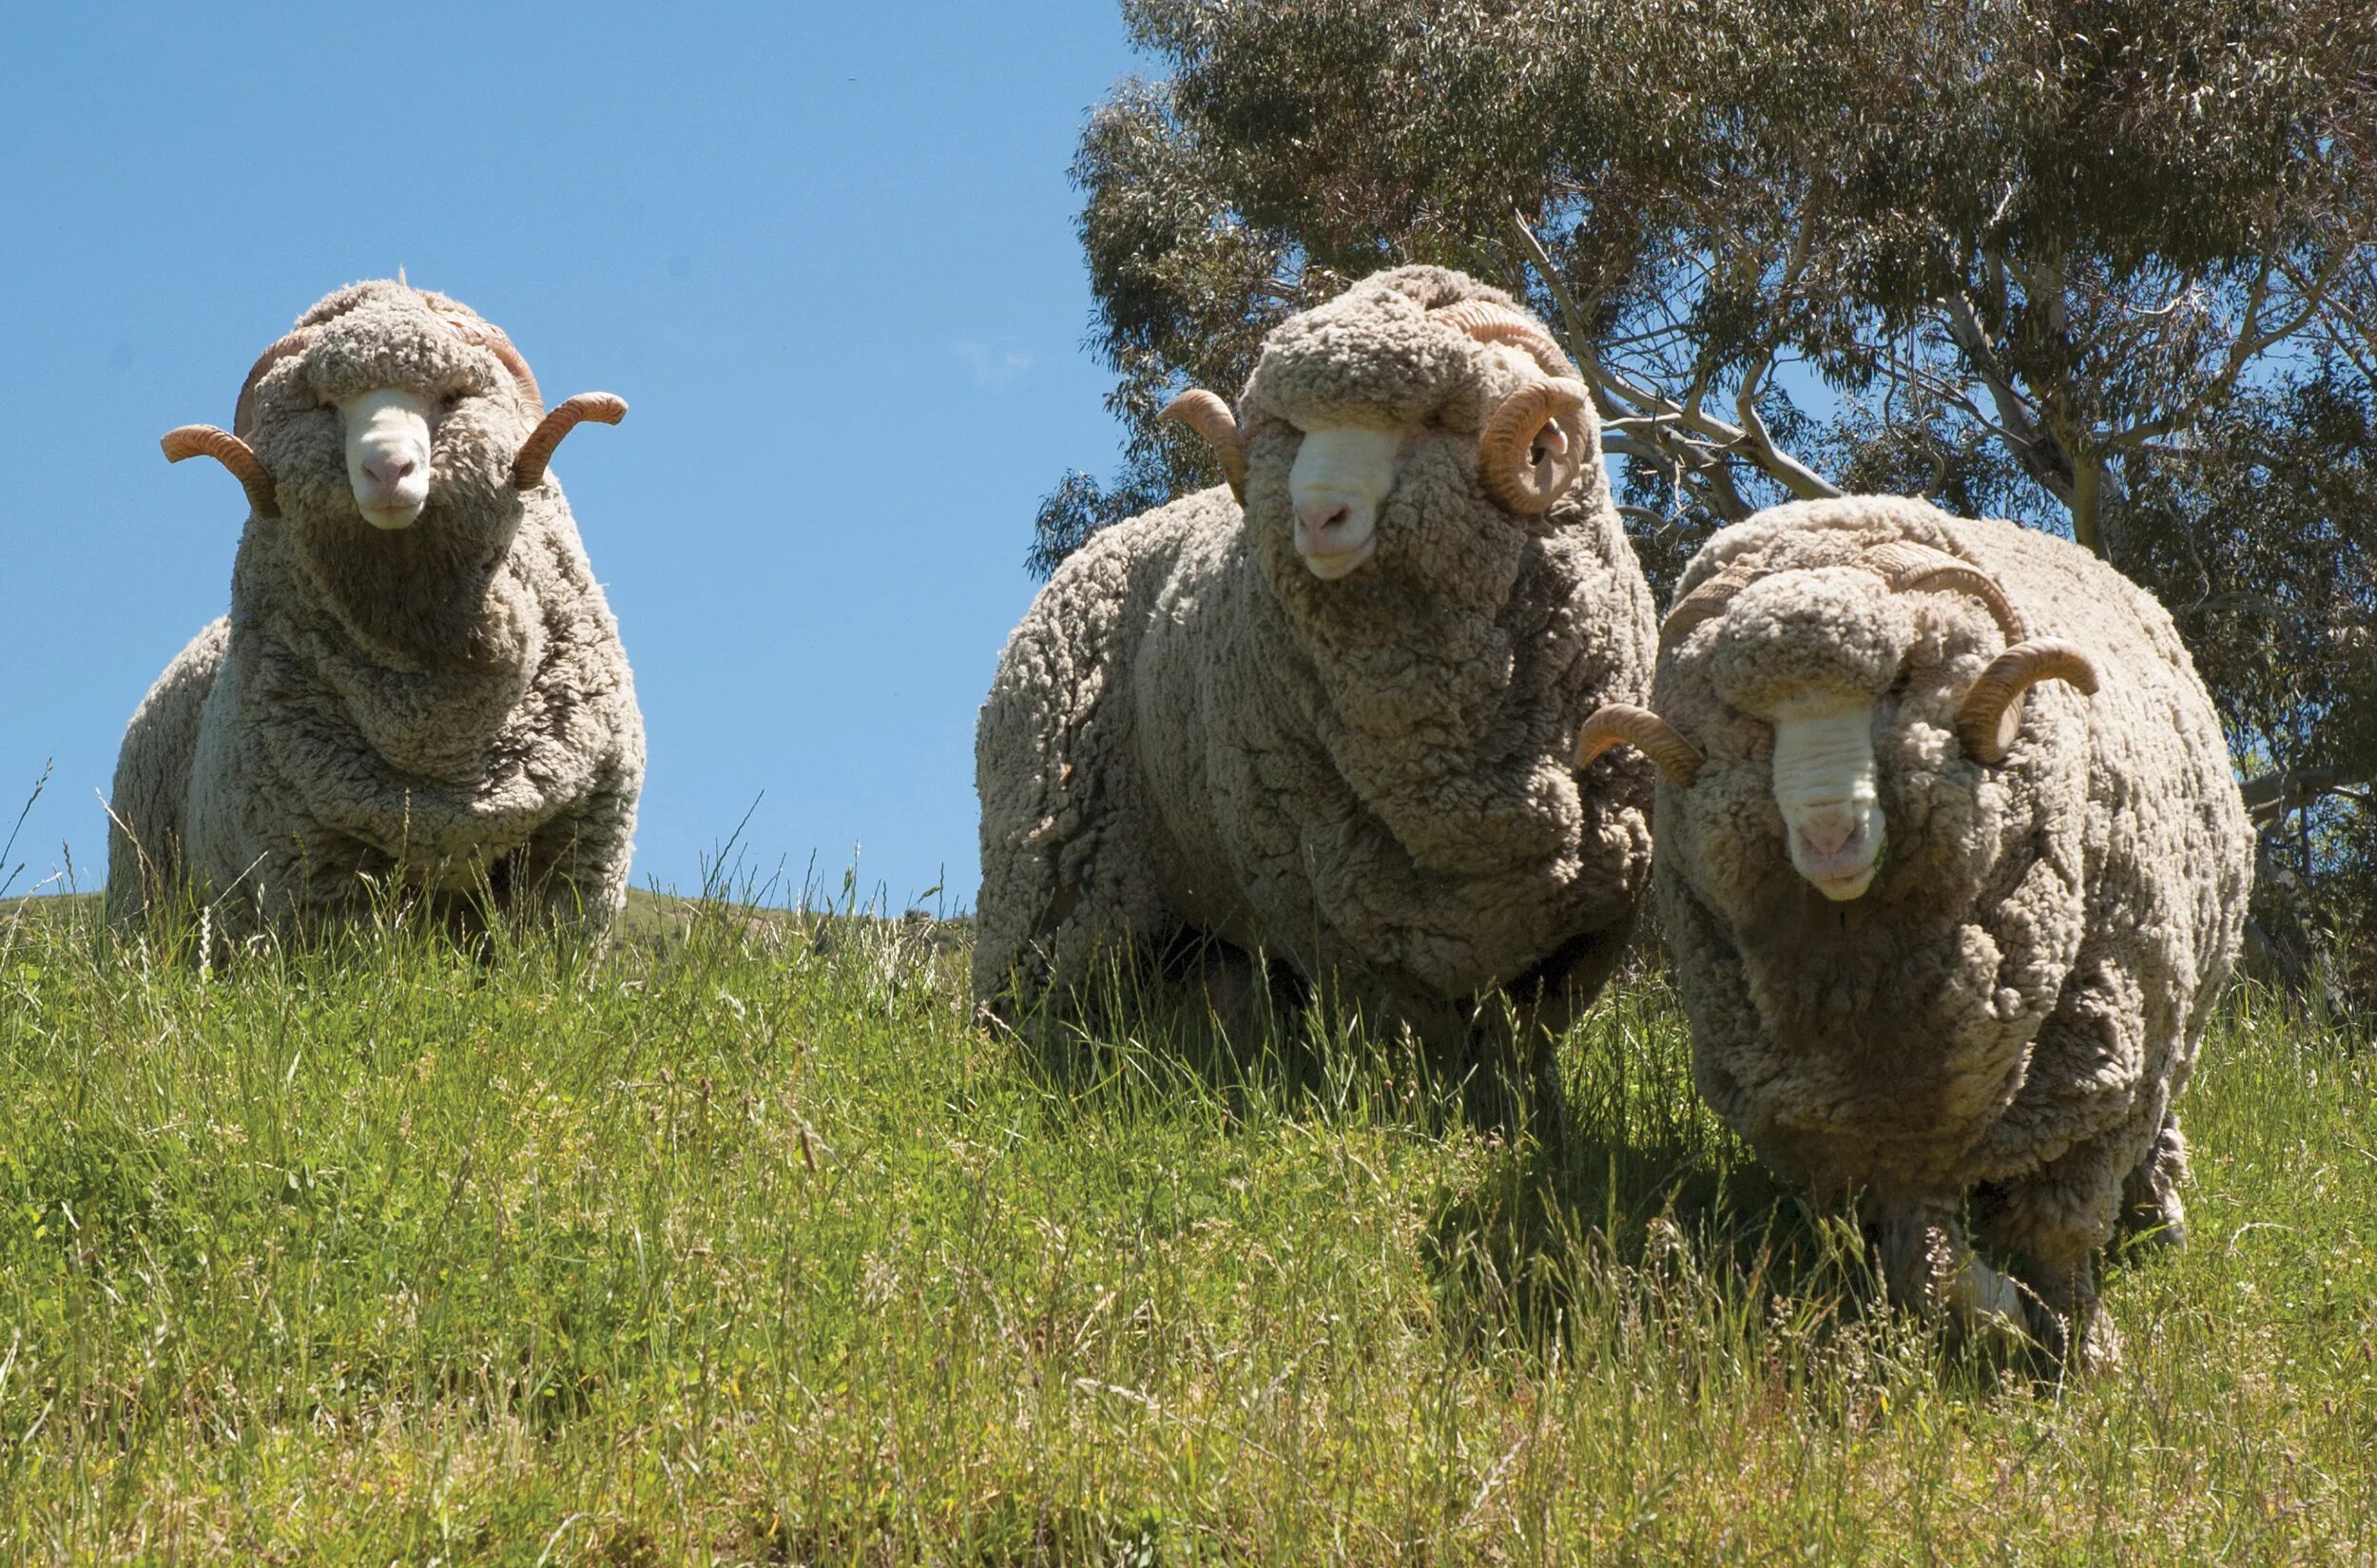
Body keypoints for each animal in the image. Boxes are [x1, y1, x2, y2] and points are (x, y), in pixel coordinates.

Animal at [107, 280, 647, 945]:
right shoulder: (313, 866)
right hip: (152, 901)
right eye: (327, 405)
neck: (437, 732)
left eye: (450, 395)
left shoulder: (577, 852)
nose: (389, 469)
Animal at [975, 265, 1664, 1102]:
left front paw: (1527, 1118)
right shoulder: (1334, 919)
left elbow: (1522, 1051)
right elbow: (1416, 1049)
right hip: (1052, 872)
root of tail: (1085, 555)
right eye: (1297, 429)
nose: (1318, 516)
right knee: (1022, 1001)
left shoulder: (1588, 920)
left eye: (1433, 418)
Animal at [1578, 496, 2244, 1368]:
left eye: (1897, 684)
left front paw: (2084, 1347)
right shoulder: (1868, 1137)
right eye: (1751, 718)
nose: (1830, 835)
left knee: (2158, 1116)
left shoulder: (2092, 1082)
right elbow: (1925, 1268)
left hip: (2173, 1017)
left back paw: (2158, 1220)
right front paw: (2005, 1314)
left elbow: (2059, 1235)